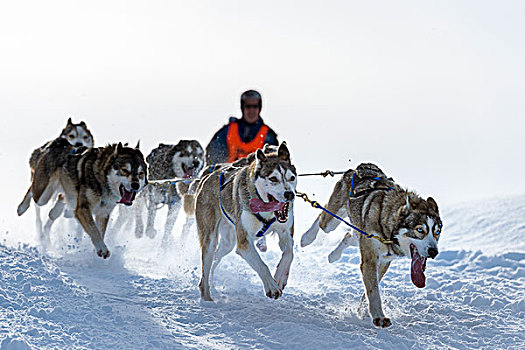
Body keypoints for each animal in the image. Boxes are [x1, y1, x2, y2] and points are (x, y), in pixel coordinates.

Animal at [188, 142, 296, 300]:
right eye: (273, 179)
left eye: (292, 178)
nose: (289, 194)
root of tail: (206, 177)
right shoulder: (244, 243)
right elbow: (262, 265)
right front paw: (271, 286)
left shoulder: (285, 232)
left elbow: (289, 253)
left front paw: (280, 277)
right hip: (210, 239)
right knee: (204, 276)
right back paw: (207, 299)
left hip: (228, 243)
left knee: (215, 260)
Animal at [298, 164, 442, 328]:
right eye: (420, 230)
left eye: (437, 232)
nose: (433, 251)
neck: (388, 230)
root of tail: (360, 167)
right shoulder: (370, 258)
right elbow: (373, 290)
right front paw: (379, 316)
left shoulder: (384, 261)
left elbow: (372, 286)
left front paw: (364, 311)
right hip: (332, 221)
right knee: (322, 217)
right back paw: (307, 238)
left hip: (358, 232)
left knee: (348, 236)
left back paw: (334, 255)